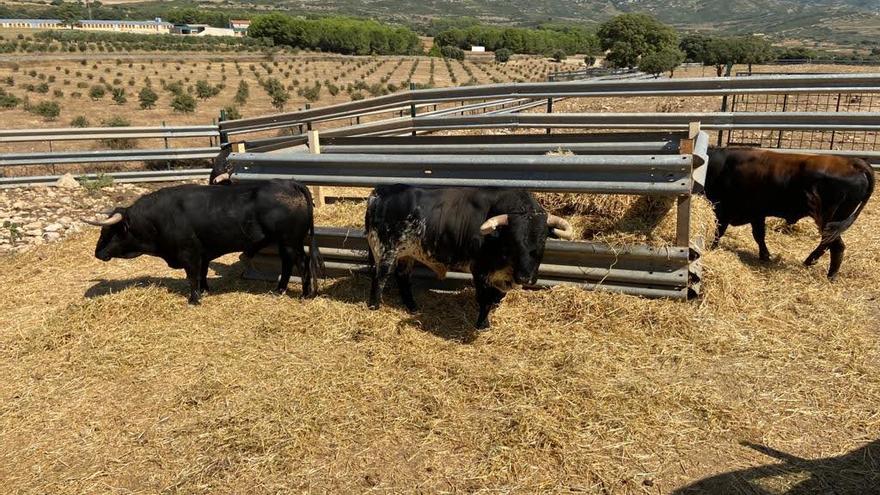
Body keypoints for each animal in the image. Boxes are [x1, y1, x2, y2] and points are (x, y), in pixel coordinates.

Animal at [362, 184, 576, 332]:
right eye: (513, 240)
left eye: (543, 239)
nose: (526, 278)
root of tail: (378, 193)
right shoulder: (480, 271)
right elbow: (484, 299)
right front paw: (483, 324)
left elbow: (497, 296)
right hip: (385, 251)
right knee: (379, 278)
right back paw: (374, 306)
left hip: (407, 253)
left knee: (403, 278)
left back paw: (412, 307)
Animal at [708, 147, 872, 280]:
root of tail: (853, 163)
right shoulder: (757, 214)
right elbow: (759, 236)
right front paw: (765, 256)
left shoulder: (724, 211)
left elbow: (719, 232)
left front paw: (711, 248)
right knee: (828, 244)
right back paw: (809, 262)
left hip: (829, 220)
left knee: (836, 246)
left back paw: (830, 276)